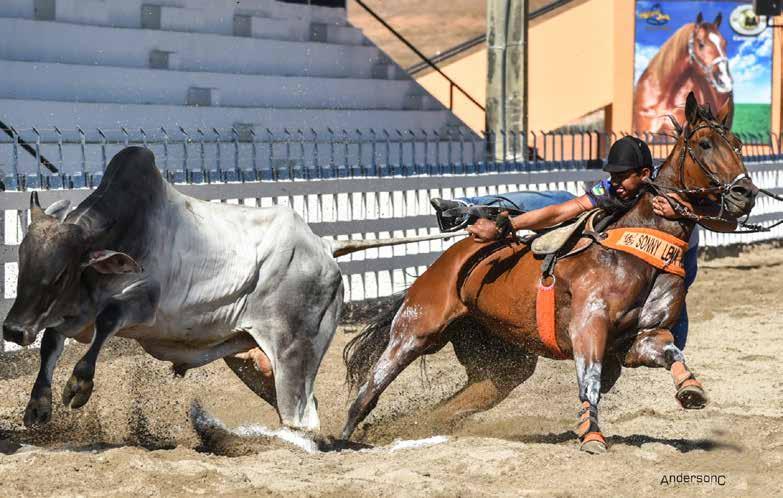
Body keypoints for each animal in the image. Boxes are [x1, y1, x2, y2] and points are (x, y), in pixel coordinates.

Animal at [3, 147, 450, 432]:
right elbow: (51, 342)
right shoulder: (68, 316)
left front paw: (78, 387)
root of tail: (324, 247)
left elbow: (107, 322)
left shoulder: (143, 306)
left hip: (295, 355)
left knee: (302, 419)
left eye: (60, 273)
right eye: (23, 264)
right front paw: (37, 406)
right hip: (250, 358)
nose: (12, 330)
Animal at [342, 92, 760, 452]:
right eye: (704, 144)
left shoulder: (638, 341)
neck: (635, 253)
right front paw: (592, 437)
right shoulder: (588, 329)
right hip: (416, 329)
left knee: (453, 405)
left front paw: (691, 389)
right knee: (369, 390)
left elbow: (671, 351)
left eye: (738, 145)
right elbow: (590, 382)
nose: (746, 194)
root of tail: (450, 258)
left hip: (503, 364)